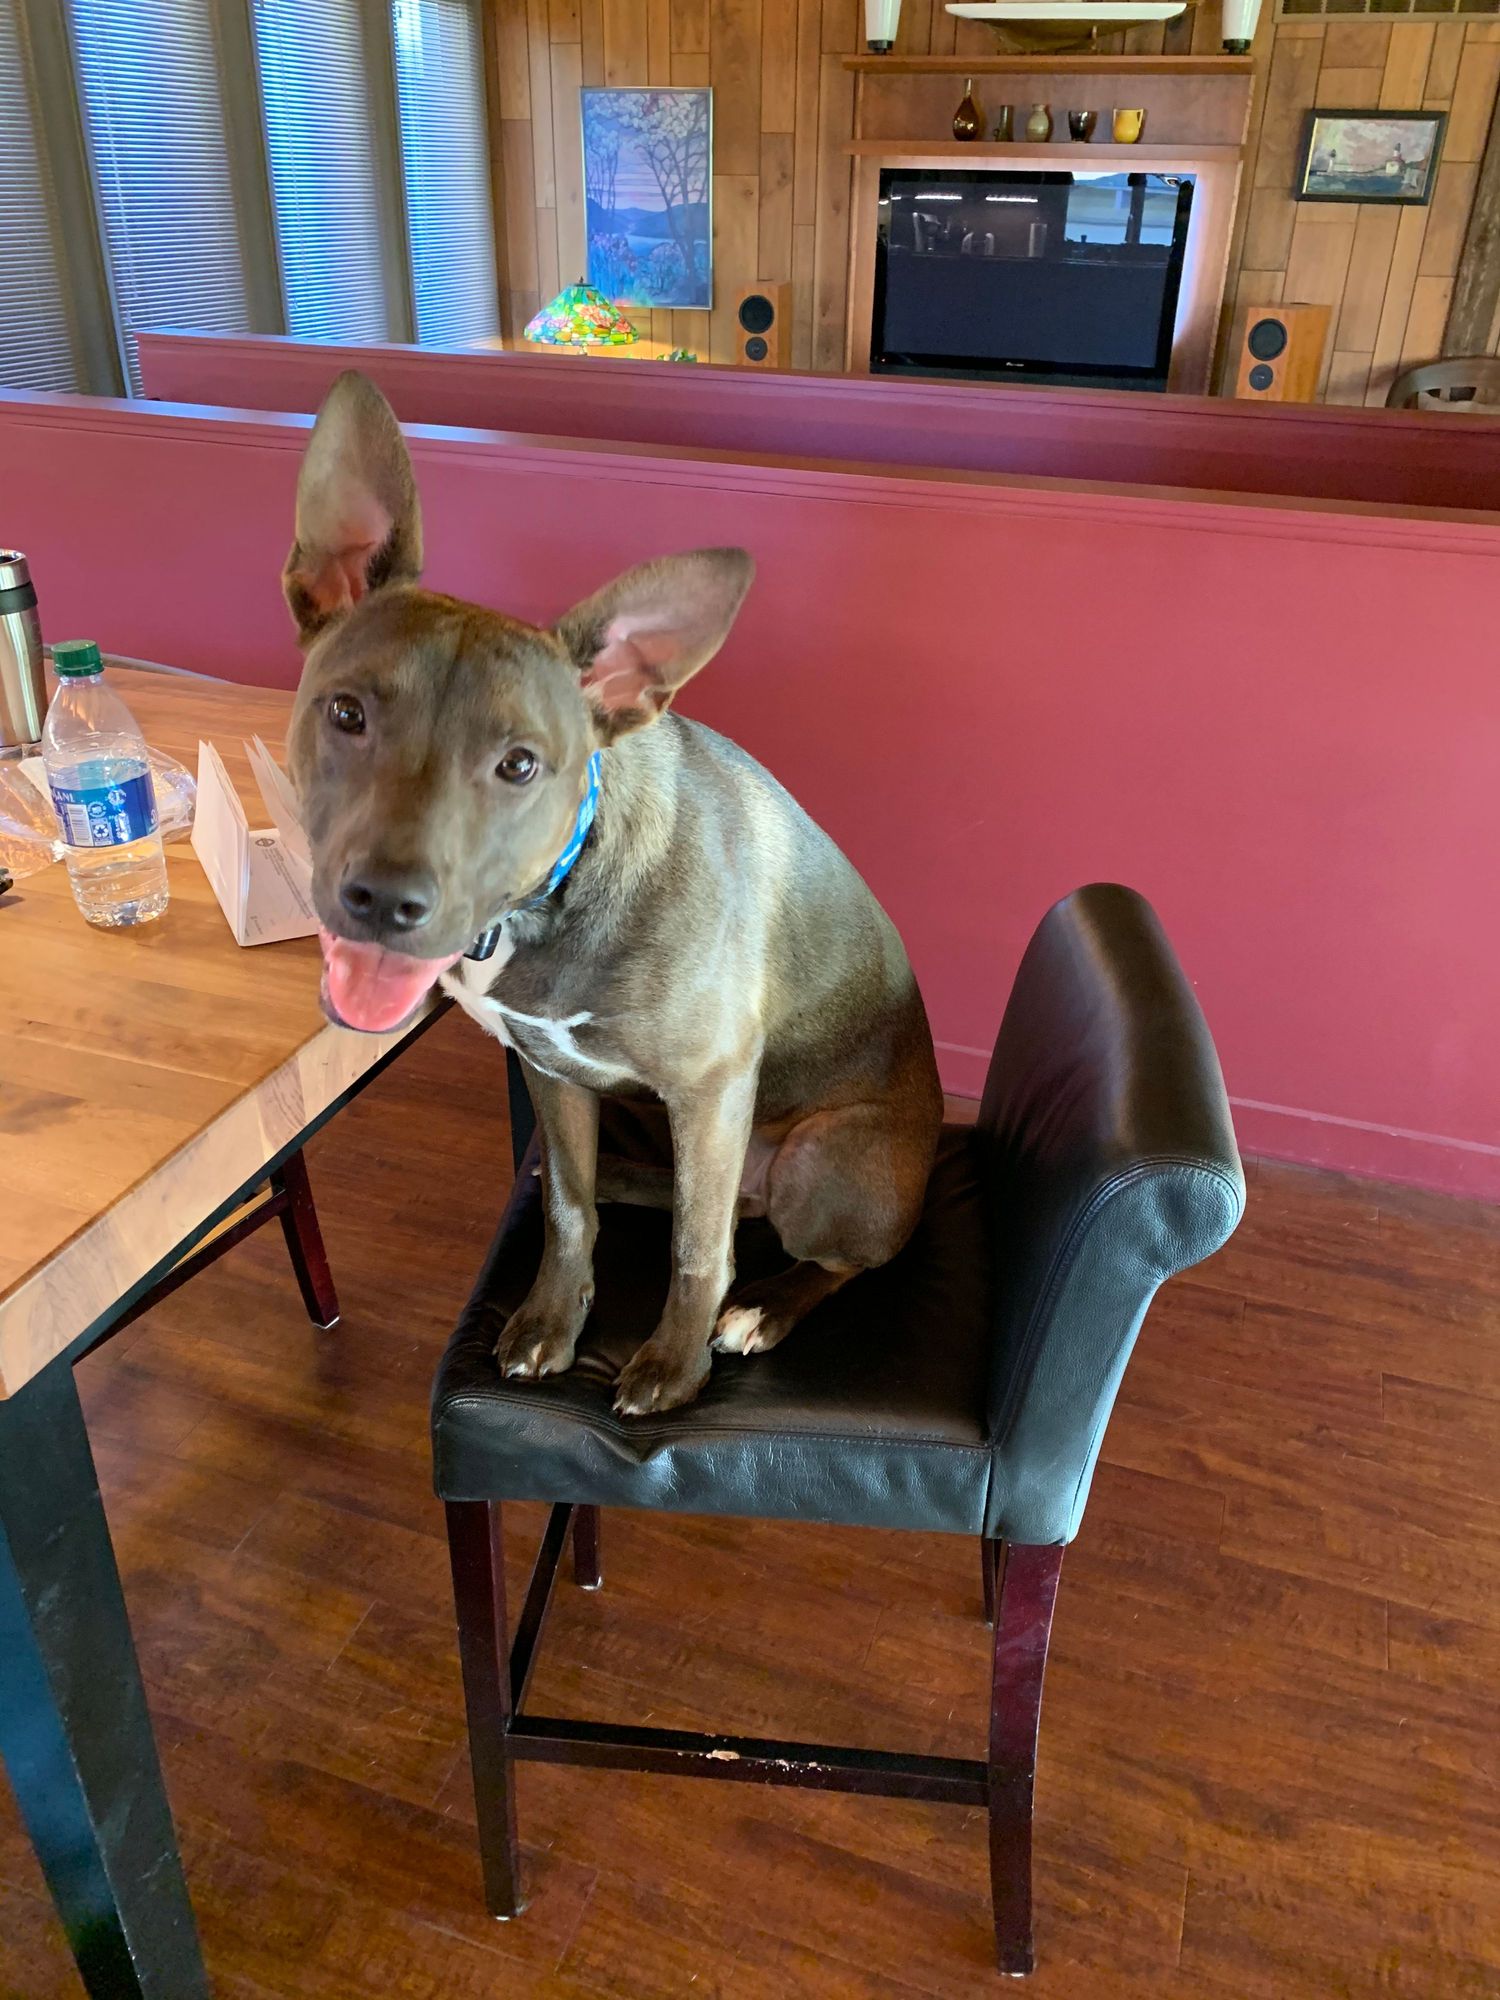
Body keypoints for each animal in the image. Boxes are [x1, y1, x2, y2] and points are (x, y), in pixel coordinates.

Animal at [284, 372, 942, 1415]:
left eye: (520, 764)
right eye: (346, 713)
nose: (383, 901)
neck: (549, 900)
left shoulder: (711, 1088)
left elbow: (694, 1252)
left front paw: (674, 1366)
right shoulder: (551, 1074)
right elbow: (566, 1205)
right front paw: (553, 1321)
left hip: (814, 1161)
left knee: (831, 1254)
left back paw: (766, 1308)